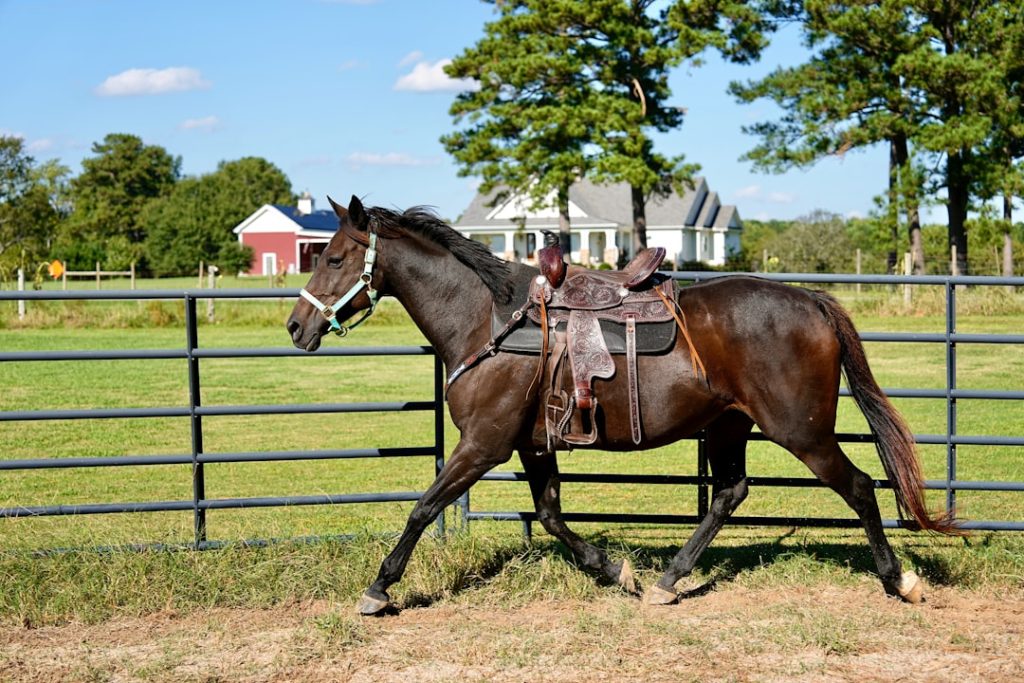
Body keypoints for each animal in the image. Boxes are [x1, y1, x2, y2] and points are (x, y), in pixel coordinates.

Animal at [286, 195, 958, 615]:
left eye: (335, 257)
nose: (296, 326)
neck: (490, 318)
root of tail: (812, 300)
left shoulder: (482, 446)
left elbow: (423, 508)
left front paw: (379, 589)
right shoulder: (532, 446)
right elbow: (552, 517)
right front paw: (615, 570)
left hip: (803, 432)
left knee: (860, 487)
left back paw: (900, 581)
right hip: (729, 426)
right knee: (729, 493)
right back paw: (667, 581)